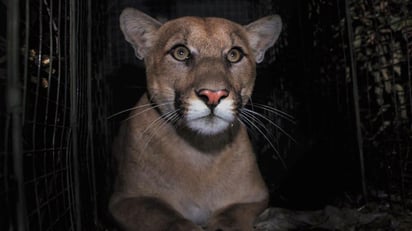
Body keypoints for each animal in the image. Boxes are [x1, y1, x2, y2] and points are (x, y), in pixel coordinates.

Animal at [109, 7, 284, 231]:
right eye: (180, 52)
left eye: (234, 54)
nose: (213, 95)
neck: (200, 150)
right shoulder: (126, 200)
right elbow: (165, 217)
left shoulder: (254, 198)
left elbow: (231, 217)